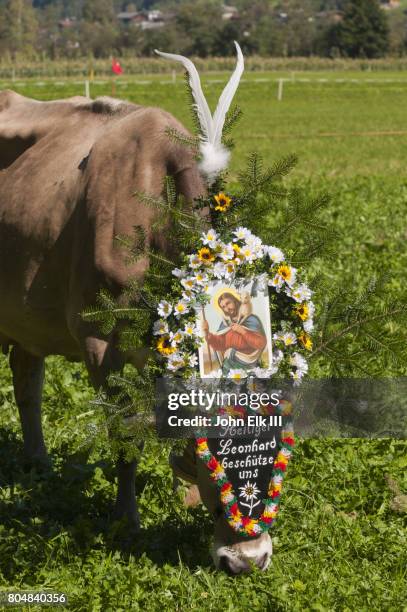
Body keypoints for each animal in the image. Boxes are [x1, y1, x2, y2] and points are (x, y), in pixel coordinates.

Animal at [0, 91, 274, 572]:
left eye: (274, 454)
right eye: (217, 462)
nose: (250, 560)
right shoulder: (98, 340)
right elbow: (125, 435)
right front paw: (126, 520)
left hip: (27, 313)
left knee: (27, 378)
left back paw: (39, 464)